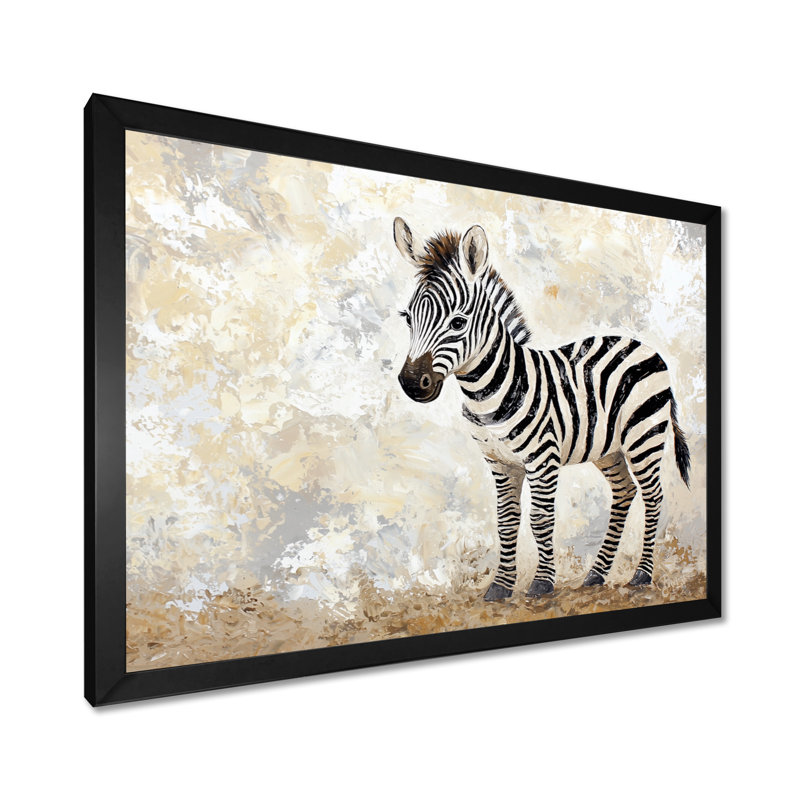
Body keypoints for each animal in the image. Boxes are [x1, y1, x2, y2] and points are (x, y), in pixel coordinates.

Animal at [394, 217, 691, 601]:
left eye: (458, 322)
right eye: (407, 318)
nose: (412, 383)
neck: (490, 392)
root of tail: (642, 345)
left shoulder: (543, 458)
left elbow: (540, 519)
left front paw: (542, 582)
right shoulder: (499, 463)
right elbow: (507, 520)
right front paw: (500, 587)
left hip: (644, 436)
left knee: (653, 496)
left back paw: (641, 574)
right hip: (608, 448)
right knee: (625, 491)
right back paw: (595, 574)